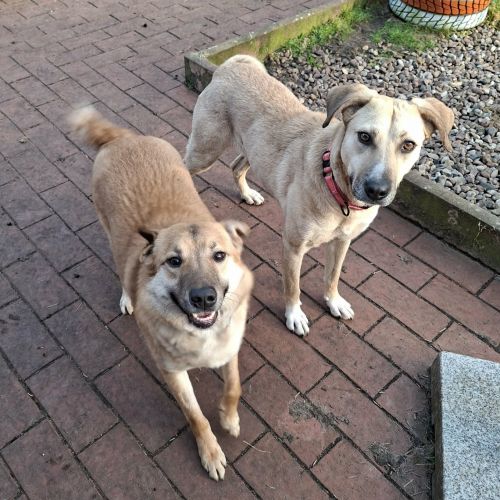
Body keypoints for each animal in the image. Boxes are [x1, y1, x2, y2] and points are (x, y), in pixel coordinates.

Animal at [70, 106, 253, 480]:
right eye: (174, 261)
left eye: (219, 256)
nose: (204, 298)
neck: (200, 334)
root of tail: (124, 138)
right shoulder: (172, 372)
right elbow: (195, 415)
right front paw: (210, 452)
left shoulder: (229, 347)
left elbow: (234, 386)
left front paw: (229, 417)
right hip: (110, 232)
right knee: (121, 269)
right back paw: (127, 297)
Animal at [185, 54, 454, 336]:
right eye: (364, 136)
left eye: (408, 145)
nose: (377, 191)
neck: (338, 192)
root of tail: (232, 65)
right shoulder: (293, 246)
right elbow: (293, 286)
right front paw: (294, 315)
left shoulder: (342, 241)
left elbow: (332, 276)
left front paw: (333, 301)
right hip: (205, 150)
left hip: (252, 150)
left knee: (236, 166)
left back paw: (248, 194)